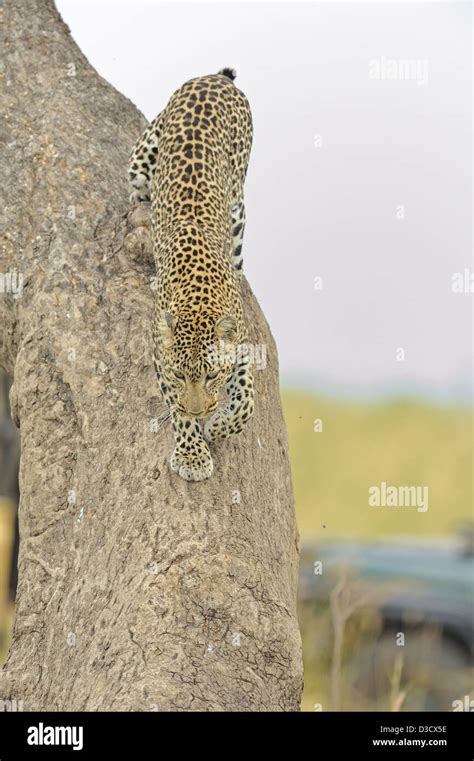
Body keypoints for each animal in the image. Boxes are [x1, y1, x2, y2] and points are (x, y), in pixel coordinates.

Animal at [128, 67, 254, 480]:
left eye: (211, 376)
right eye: (182, 375)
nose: (201, 410)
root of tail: (214, 79)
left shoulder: (242, 345)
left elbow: (246, 400)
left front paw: (219, 425)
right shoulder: (160, 354)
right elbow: (174, 407)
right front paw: (192, 453)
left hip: (238, 207)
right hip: (139, 161)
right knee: (138, 191)